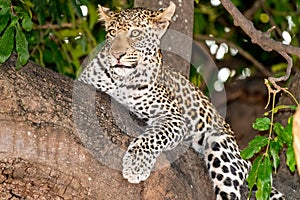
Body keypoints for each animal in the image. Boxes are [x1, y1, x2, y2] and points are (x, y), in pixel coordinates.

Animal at [78, 2, 284, 199]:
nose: (116, 55)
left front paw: (136, 165)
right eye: (112, 33)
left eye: (135, 33)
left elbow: (151, 138)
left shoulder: (174, 117)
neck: (122, 79)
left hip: (221, 147)